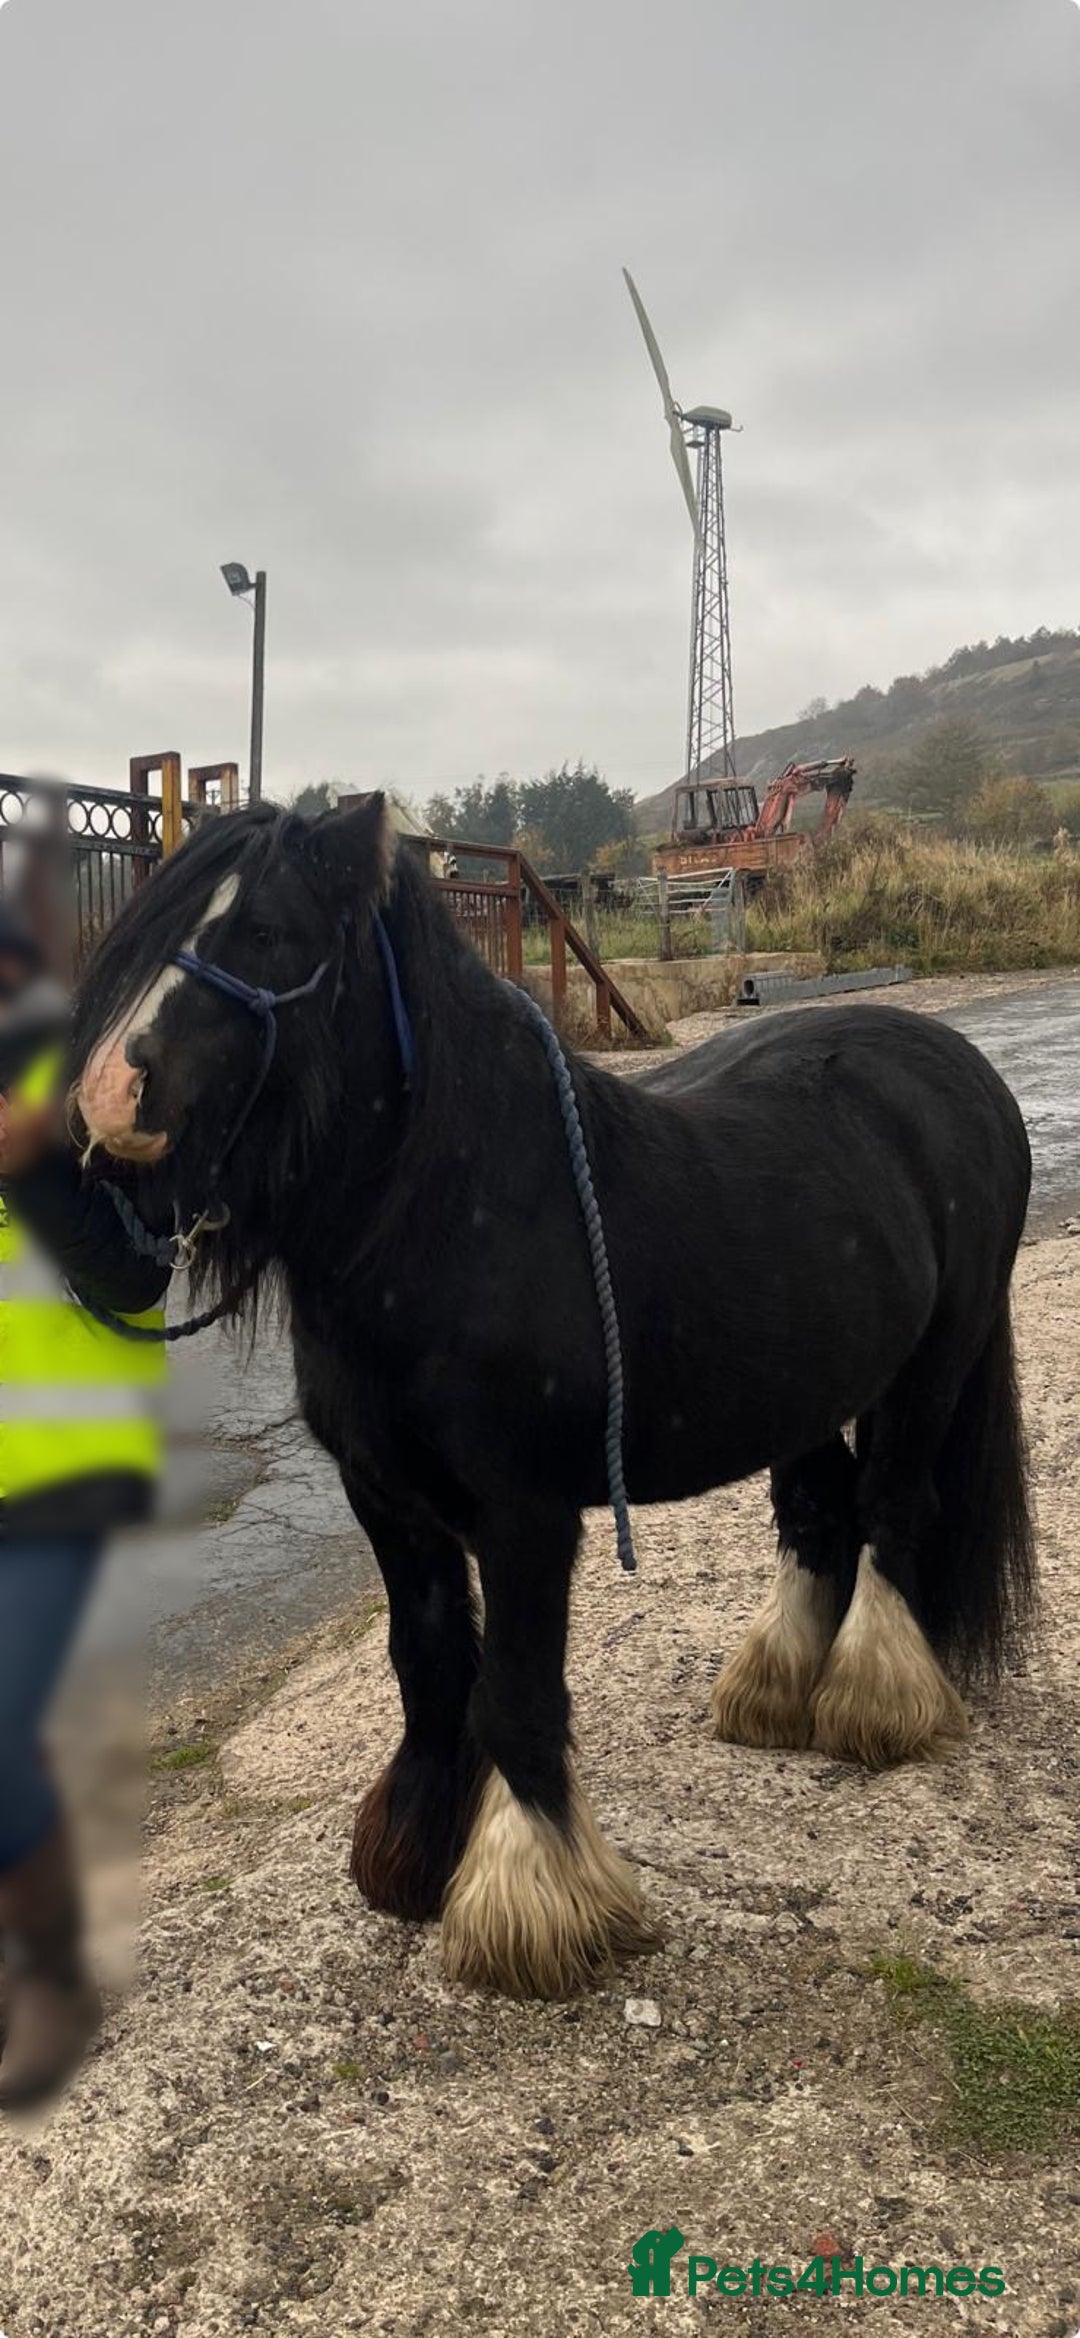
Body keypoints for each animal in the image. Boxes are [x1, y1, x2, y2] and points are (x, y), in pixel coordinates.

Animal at [71, 795, 1036, 1998]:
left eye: (267, 935)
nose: (108, 1099)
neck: (457, 1213)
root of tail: (961, 1069)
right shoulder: (385, 1501)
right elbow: (430, 1668)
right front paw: (415, 1854)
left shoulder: (526, 1515)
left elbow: (517, 1693)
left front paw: (532, 1903)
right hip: (805, 1388)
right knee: (823, 1516)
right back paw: (777, 1694)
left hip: (933, 1364)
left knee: (896, 1512)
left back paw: (872, 1702)